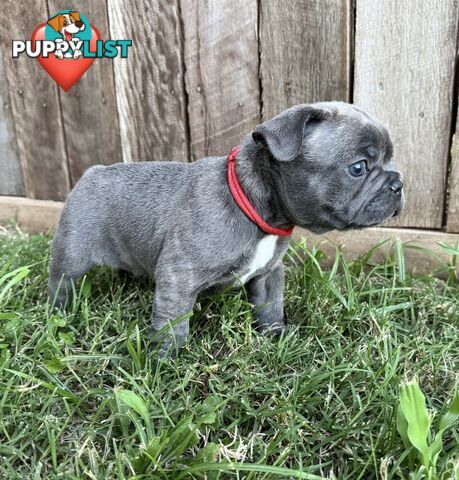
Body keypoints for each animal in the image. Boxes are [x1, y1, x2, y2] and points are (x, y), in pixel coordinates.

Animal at [48, 102, 404, 356]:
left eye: (390, 160)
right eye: (358, 168)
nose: (398, 183)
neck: (252, 205)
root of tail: (91, 173)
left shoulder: (269, 274)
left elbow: (271, 306)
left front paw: (276, 336)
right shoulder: (179, 277)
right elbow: (172, 324)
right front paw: (166, 361)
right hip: (72, 255)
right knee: (62, 283)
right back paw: (58, 312)